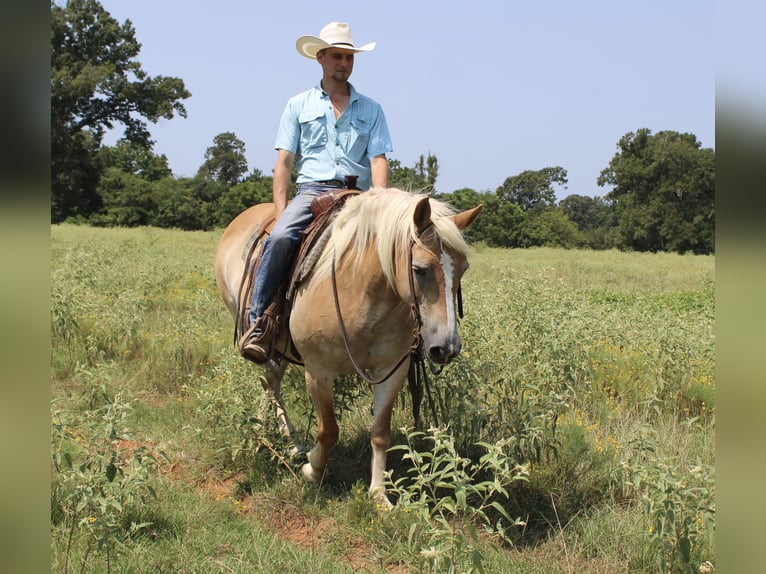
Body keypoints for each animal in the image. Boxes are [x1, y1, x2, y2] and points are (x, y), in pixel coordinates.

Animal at [213, 189, 484, 504]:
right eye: (419, 269)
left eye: (463, 269)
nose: (447, 347)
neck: (361, 291)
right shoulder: (318, 372)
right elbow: (329, 430)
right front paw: (313, 470)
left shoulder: (392, 369)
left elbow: (380, 432)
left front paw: (379, 496)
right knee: (270, 382)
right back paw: (273, 437)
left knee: (271, 382)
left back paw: (286, 439)